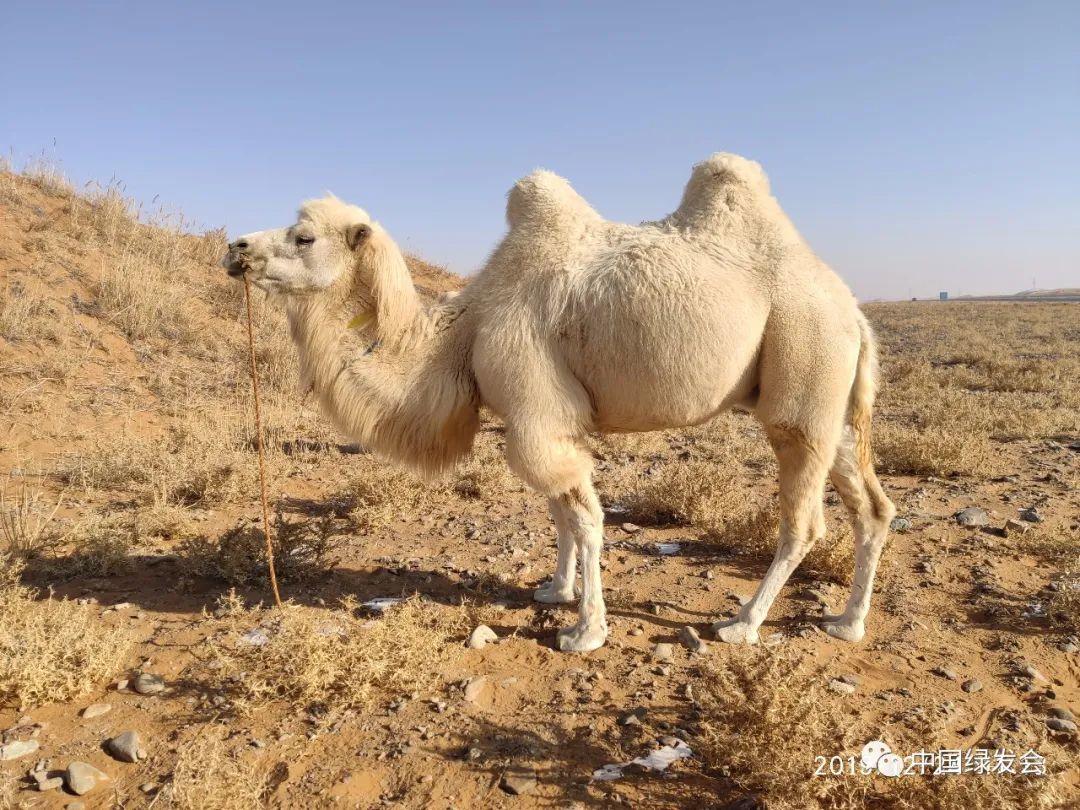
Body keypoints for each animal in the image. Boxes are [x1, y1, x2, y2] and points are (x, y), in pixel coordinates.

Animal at [219, 155, 894, 656]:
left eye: (304, 236)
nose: (235, 247)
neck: (463, 331)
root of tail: (854, 312)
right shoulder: (541, 417)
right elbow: (558, 513)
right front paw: (555, 590)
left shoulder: (536, 411)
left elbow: (587, 519)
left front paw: (585, 631)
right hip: (829, 406)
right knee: (873, 506)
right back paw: (847, 622)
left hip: (802, 373)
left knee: (805, 519)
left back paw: (743, 623)